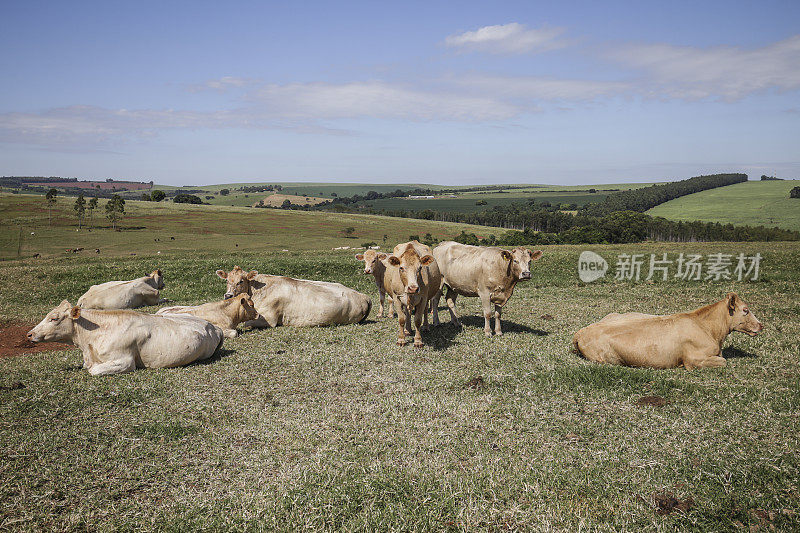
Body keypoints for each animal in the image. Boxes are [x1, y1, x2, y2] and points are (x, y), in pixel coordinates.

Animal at [216, 264, 372, 326]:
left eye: (241, 281)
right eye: (227, 280)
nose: (228, 295)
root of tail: (363, 296)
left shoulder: (269, 318)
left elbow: (246, 323)